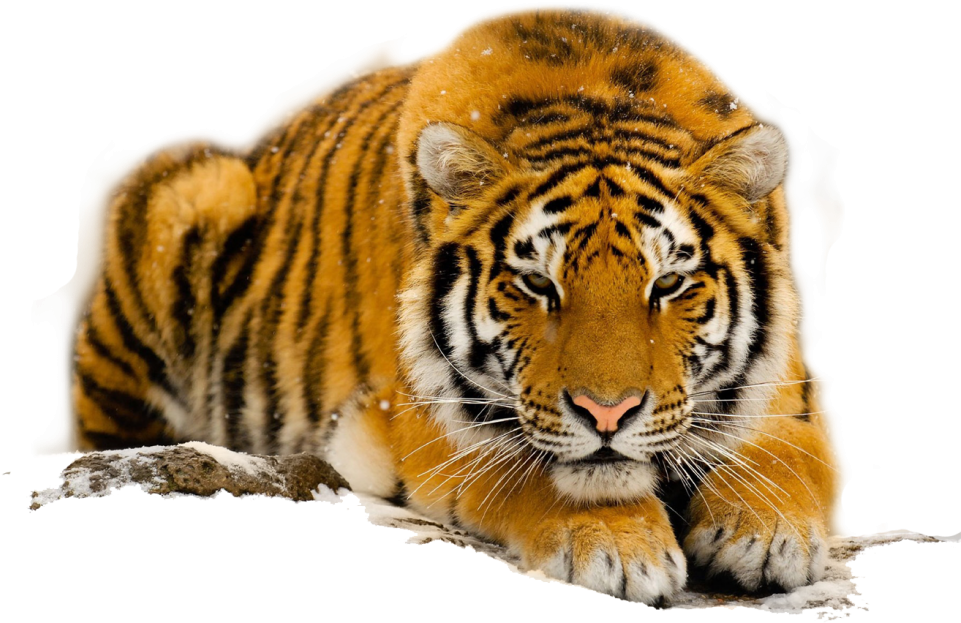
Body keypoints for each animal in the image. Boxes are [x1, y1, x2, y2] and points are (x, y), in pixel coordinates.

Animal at [71, 3, 845, 605]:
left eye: (667, 285)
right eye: (538, 284)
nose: (607, 414)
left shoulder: (796, 396)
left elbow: (787, 454)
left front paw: (766, 533)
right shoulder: (421, 419)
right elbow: (529, 469)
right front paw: (618, 545)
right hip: (193, 192)